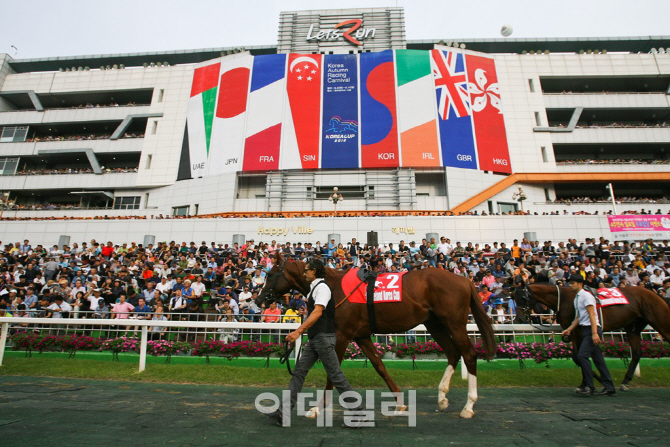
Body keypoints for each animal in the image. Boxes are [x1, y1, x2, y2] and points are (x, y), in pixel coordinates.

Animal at [258, 256, 498, 420]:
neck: (333, 288)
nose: (260, 299)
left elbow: (332, 372)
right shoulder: (361, 336)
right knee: (453, 352)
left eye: (270, 275)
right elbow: (379, 366)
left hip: (454, 323)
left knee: (469, 354)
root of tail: (464, 280)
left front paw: (318, 407)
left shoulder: (343, 334)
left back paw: (468, 406)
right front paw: (400, 402)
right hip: (435, 323)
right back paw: (442, 398)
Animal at [520, 284, 670, 392]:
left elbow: (579, 356)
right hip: (632, 327)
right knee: (637, 353)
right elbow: (577, 356)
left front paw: (595, 381)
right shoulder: (573, 331)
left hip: (660, 321)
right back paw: (625, 382)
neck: (563, 299)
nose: (520, 318)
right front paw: (589, 382)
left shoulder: (578, 330)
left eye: (522, 298)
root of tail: (657, 295)